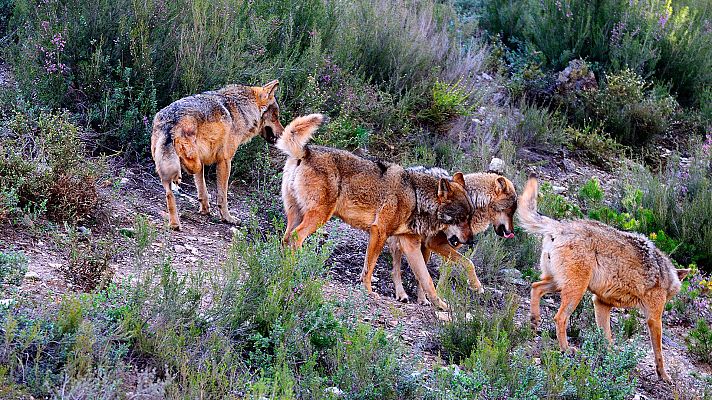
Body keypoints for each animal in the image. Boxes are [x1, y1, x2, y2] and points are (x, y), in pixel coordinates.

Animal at [151, 80, 284, 230]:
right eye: (276, 117)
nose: (283, 134)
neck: (243, 109)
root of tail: (170, 120)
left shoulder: (204, 162)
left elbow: (202, 190)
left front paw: (204, 210)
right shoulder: (225, 161)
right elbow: (222, 196)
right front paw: (227, 218)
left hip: (167, 167)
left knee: (169, 194)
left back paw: (174, 224)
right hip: (192, 159)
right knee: (188, 166)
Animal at [278, 114, 476, 310]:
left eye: (470, 218)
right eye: (461, 218)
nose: (471, 241)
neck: (415, 197)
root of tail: (306, 152)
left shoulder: (410, 244)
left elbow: (427, 279)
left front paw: (439, 304)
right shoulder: (379, 232)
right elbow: (370, 266)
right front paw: (368, 291)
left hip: (297, 216)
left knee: (286, 239)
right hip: (319, 217)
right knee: (296, 238)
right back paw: (301, 264)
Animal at [388, 171, 518, 304]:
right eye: (510, 211)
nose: (512, 232)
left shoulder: (449, 248)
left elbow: (444, 274)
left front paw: (438, 295)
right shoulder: (435, 244)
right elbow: (469, 263)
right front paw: (476, 286)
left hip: (423, 248)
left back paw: (422, 299)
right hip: (402, 243)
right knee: (395, 269)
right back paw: (401, 294)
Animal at [518, 176, 690, 383]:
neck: (666, 274)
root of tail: (559, 226)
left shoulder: (601, 303)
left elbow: (606, 338)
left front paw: (611, 360)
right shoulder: (654, 317)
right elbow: (659, 352)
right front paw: (664, 375)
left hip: (559, 284)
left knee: (535, 287)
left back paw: (534, 322)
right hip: (575, 291)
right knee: (559, 318)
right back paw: (566, 349)